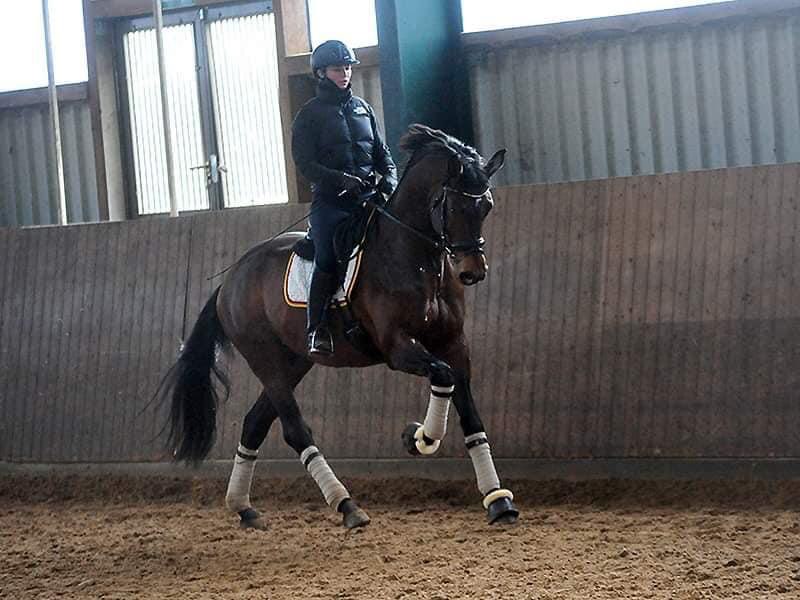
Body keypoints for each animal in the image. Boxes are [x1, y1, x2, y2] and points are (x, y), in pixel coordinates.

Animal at [158, 124, 520, 528]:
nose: (472, 272)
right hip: (266, 360)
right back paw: (347, 505)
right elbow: (442, 376)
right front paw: (418, 438)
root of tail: (232, 279)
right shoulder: (398, 348)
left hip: (294, 361)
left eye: (486, 206)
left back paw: (244, 508)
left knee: (255, 422)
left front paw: (498, 501)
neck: (416, 258)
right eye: (454, 206)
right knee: (295, 430)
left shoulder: (454, 344)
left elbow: (470, 415)